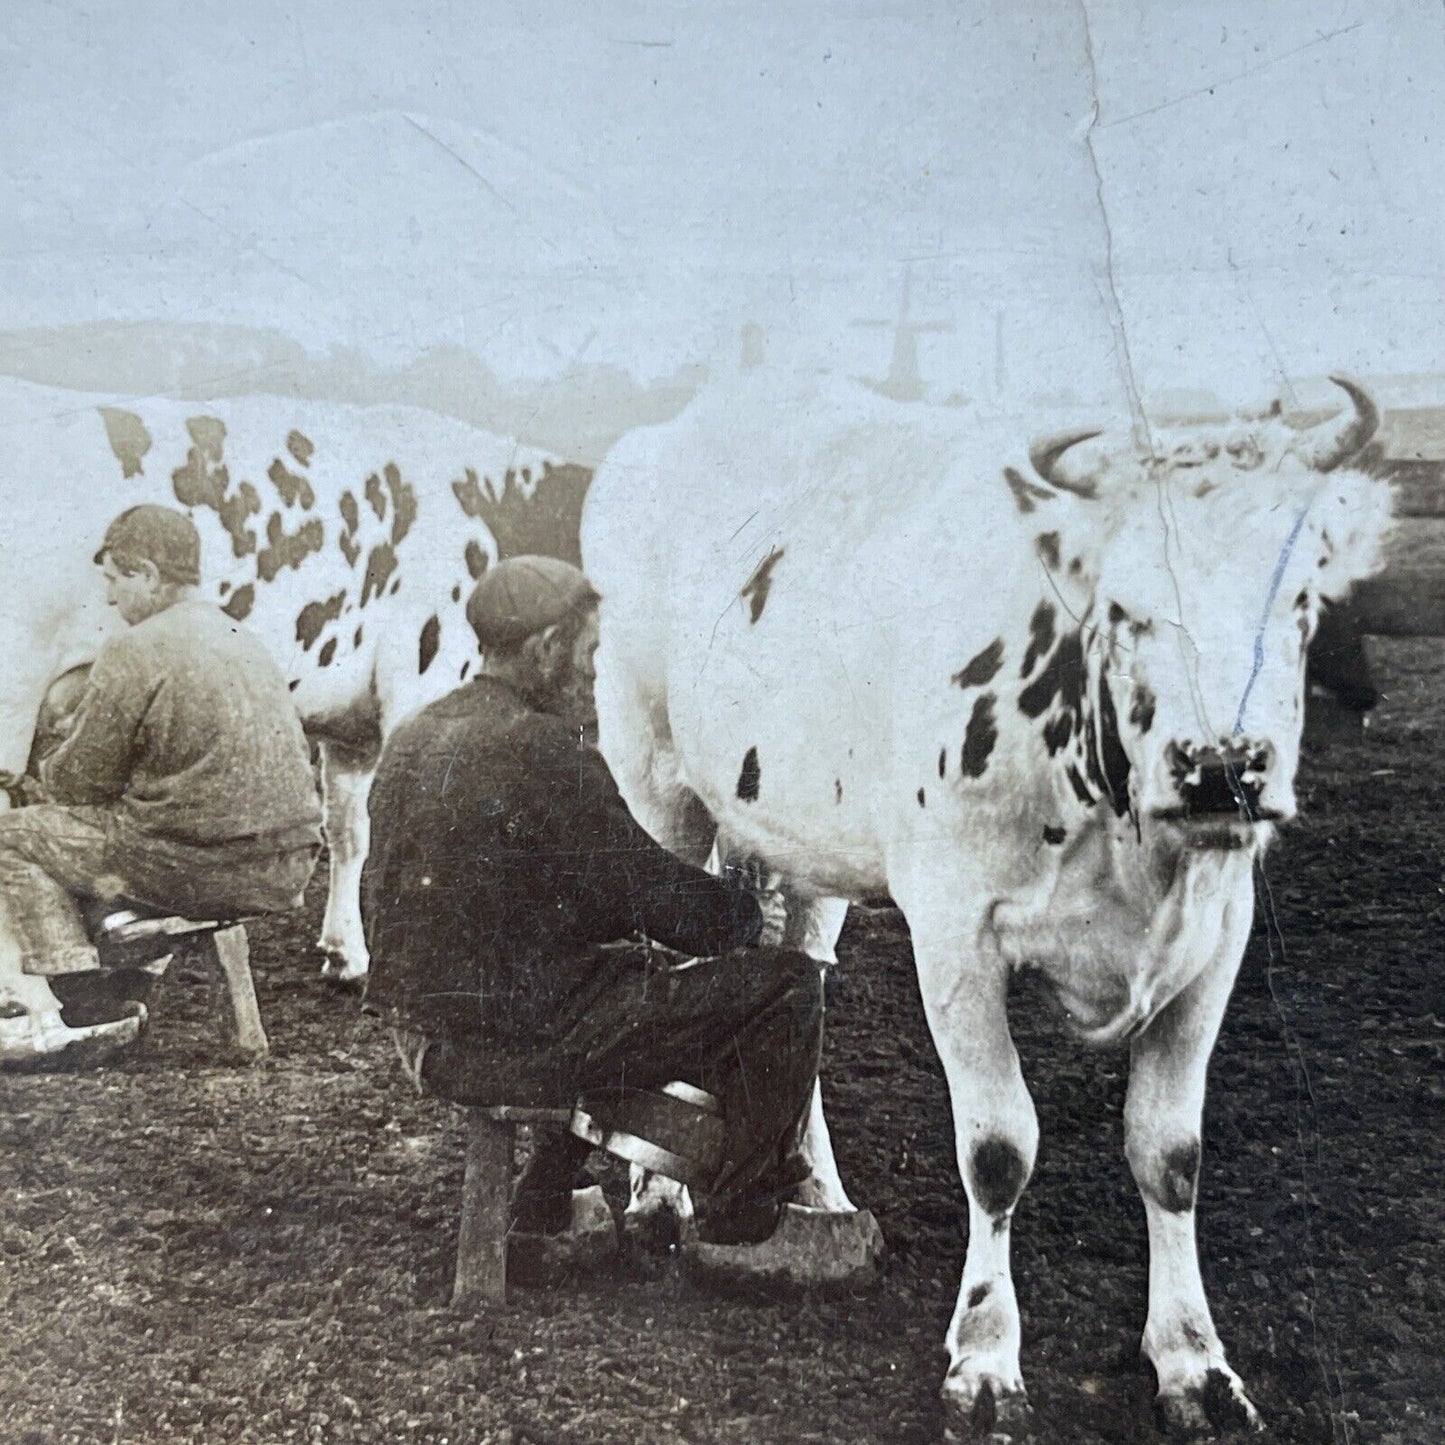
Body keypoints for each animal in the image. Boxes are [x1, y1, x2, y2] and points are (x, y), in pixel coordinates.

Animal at [580, 369, 1392, 1433]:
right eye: (1123, 607)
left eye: (1299, 598)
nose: (1221, 768)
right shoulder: (954, 934)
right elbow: (998, 1149)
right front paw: (983, 1358)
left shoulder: (1216, 939)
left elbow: (1170, 1153)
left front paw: (1193, 1360)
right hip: (654, 786)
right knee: (680, 958)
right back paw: (656, 1198)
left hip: (800, 833)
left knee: (795, 967)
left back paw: (815, 1192)